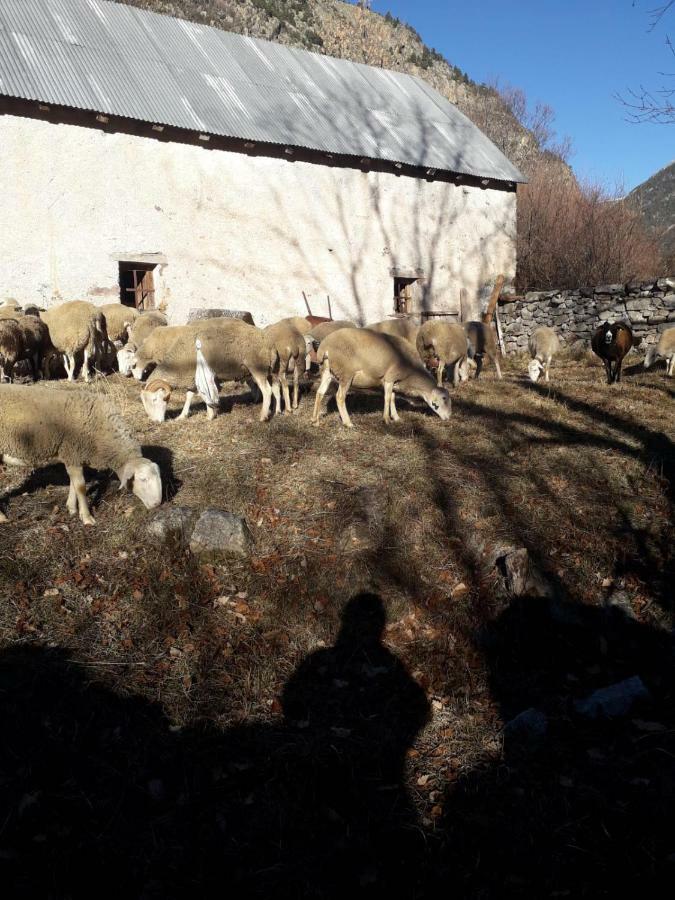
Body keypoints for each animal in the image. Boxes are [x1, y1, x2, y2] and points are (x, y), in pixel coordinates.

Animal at [0, 382, 162, 524]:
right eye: (143, 479)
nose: (157, 504)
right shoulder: (72, 451)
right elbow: (81, 487)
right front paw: (87, 517)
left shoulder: (75, 456)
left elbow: (74, 484)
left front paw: (71, 508)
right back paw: (2, 518)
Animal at [314, 328, 452, 428]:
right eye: (444, 399)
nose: (449, 417)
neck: (412, 372)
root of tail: (324, 347)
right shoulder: (389, 378)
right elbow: (387, 398)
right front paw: (386, 419)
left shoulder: (395, 381)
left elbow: (392, 398)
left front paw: (396, 417)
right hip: (345, 374)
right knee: (340, 397)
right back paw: (348, 423)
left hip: (327, 371)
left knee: (320, 393)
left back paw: (315, 421)